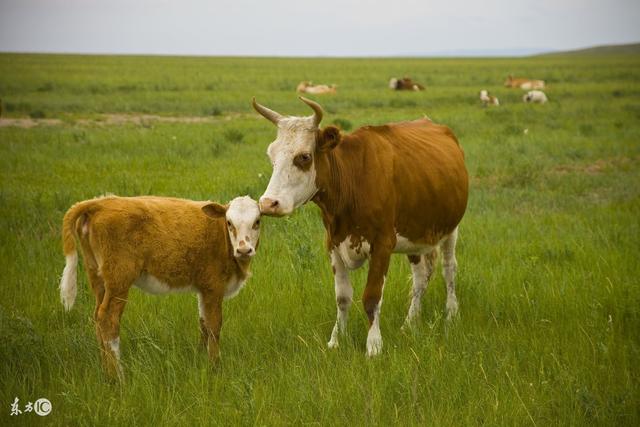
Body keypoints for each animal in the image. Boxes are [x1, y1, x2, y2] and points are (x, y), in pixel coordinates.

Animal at [59, 196, 260, 380]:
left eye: (257, 222)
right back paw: (118, 376)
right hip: (119, 279)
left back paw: (105, 371)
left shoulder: (204, 288)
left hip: (97, 275)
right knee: (108, 319)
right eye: (229, 222)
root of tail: (101, 202)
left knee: (97, 317)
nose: (244, 250)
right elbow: (214, 326)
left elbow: (203, 323)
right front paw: (214, 366)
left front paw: (201, 358)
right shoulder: (214, 286)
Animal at [252, 97, 468, 358]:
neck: (352, 182)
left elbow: (372, 297)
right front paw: (336, 340)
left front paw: (374, 345)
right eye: (271, 155)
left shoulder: (383, 245)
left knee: (449, 269)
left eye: (304, 157)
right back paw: (410, 323)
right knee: (420, 277)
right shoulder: (333, 243)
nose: (268, 203)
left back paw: (451, 314)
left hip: (451, 229)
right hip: (415, 236)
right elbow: (342, 297)